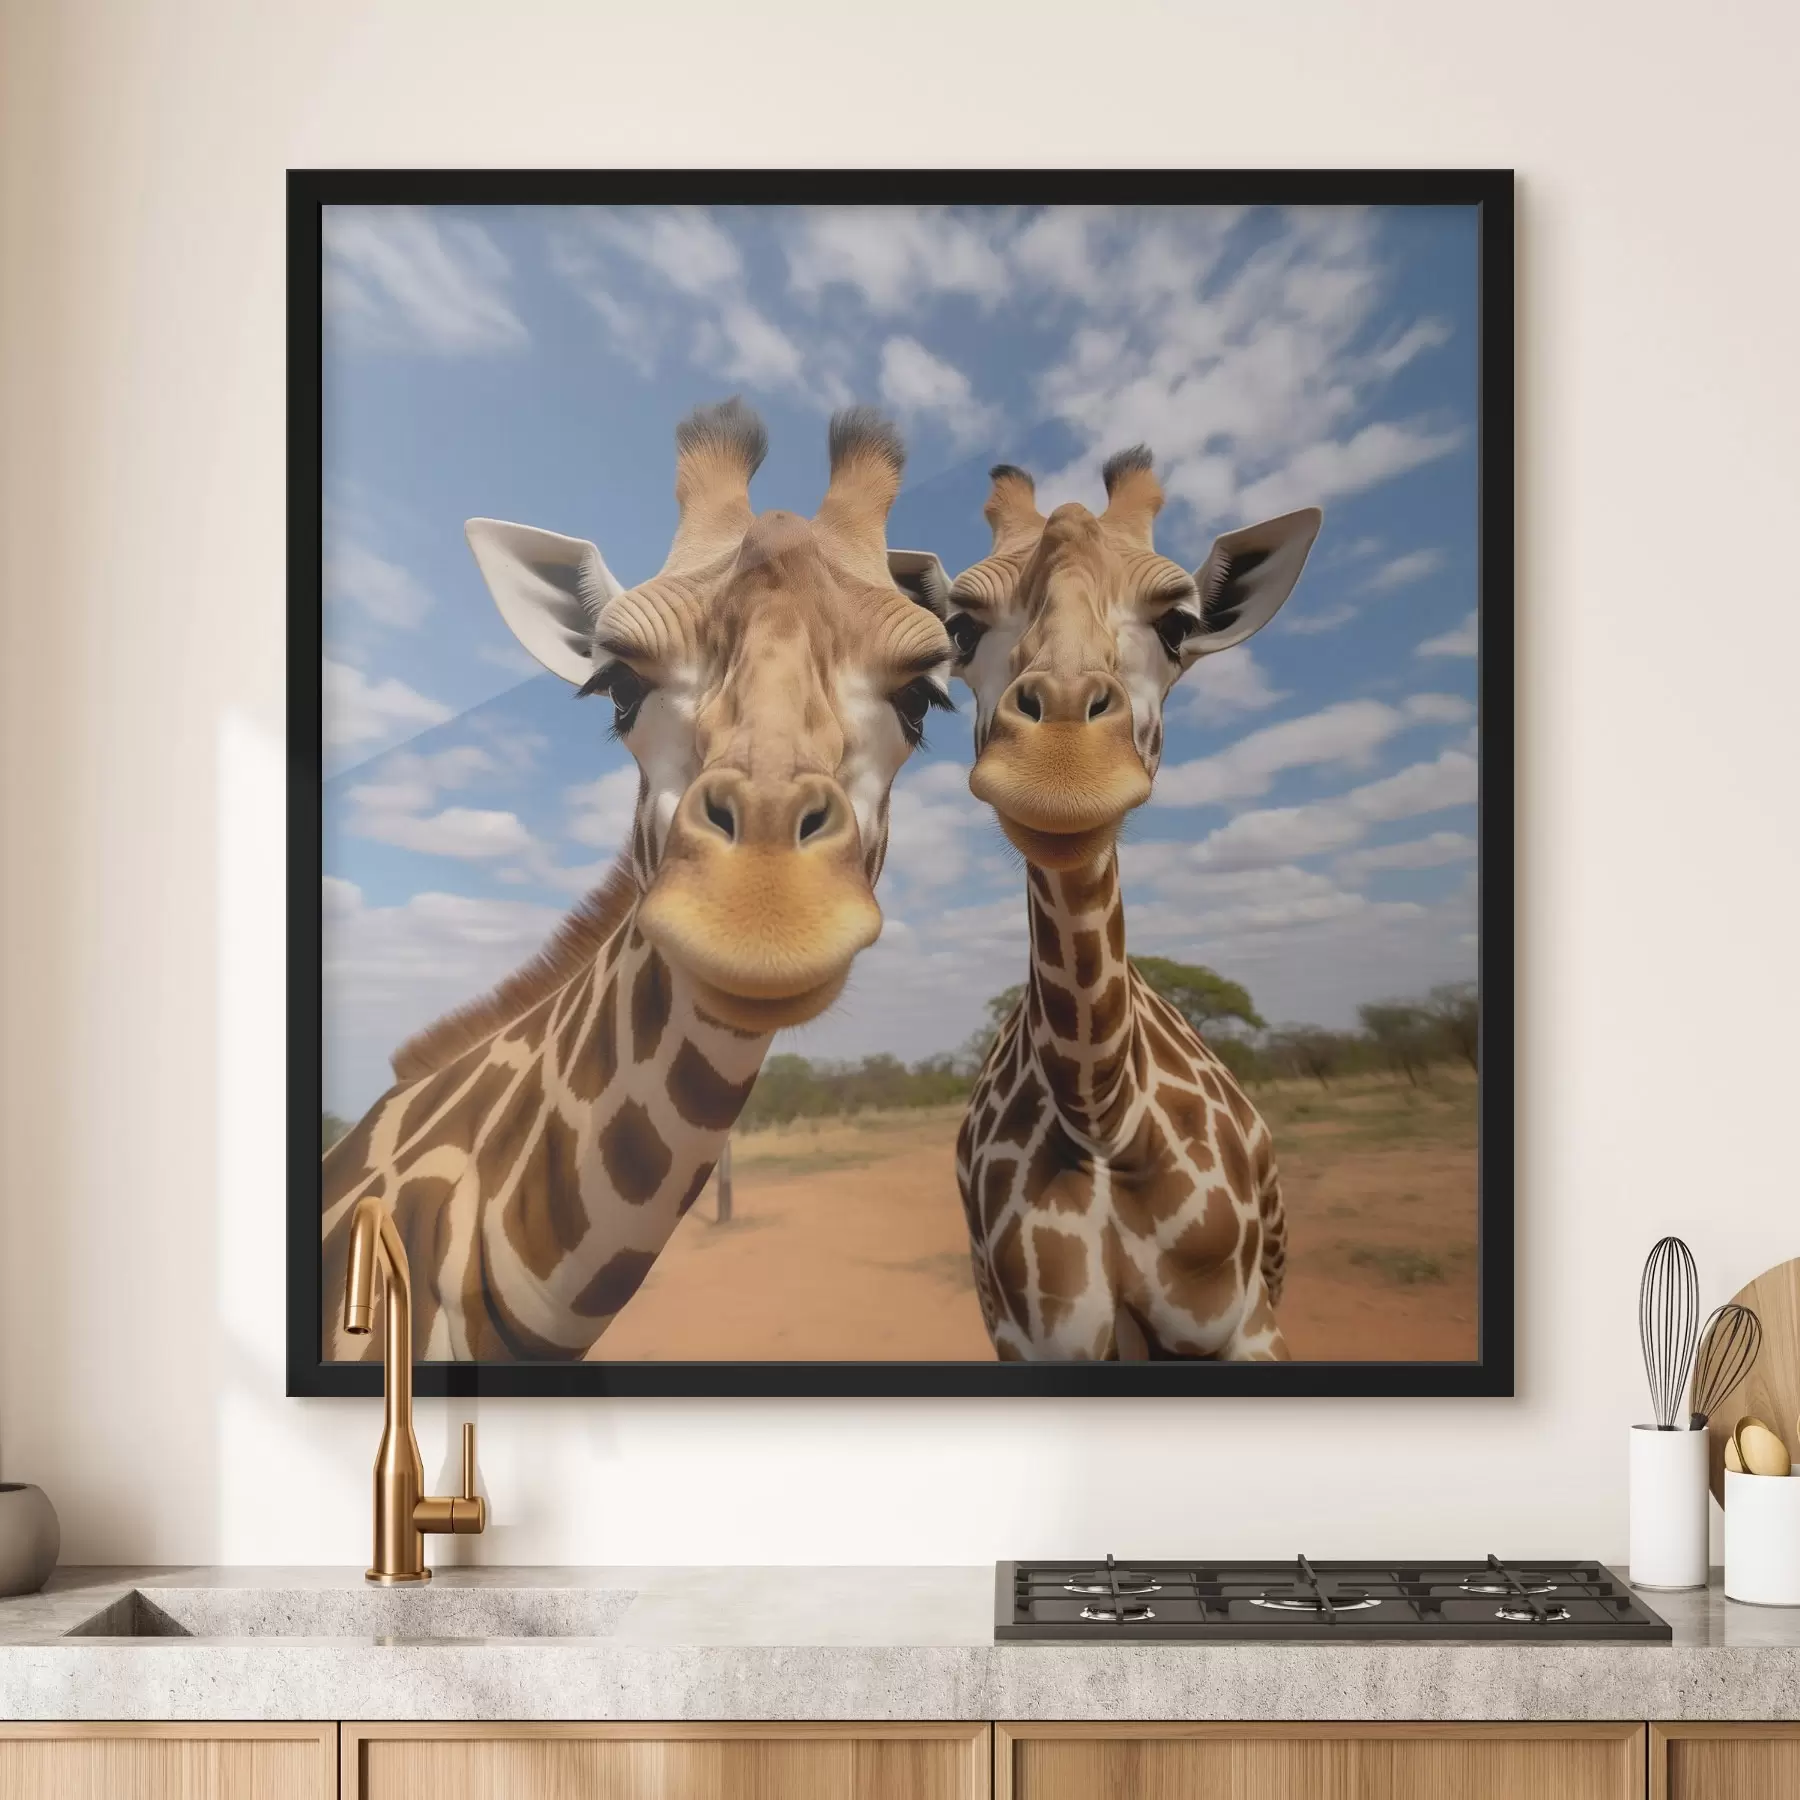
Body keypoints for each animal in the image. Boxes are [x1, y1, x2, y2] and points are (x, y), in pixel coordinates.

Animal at [945, 452, 1322, 1361]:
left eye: (1178, 624)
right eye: (960, 628)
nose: (1061, 769)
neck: (1103, 1113)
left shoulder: (1246, 1325)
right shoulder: (1031, 1340)